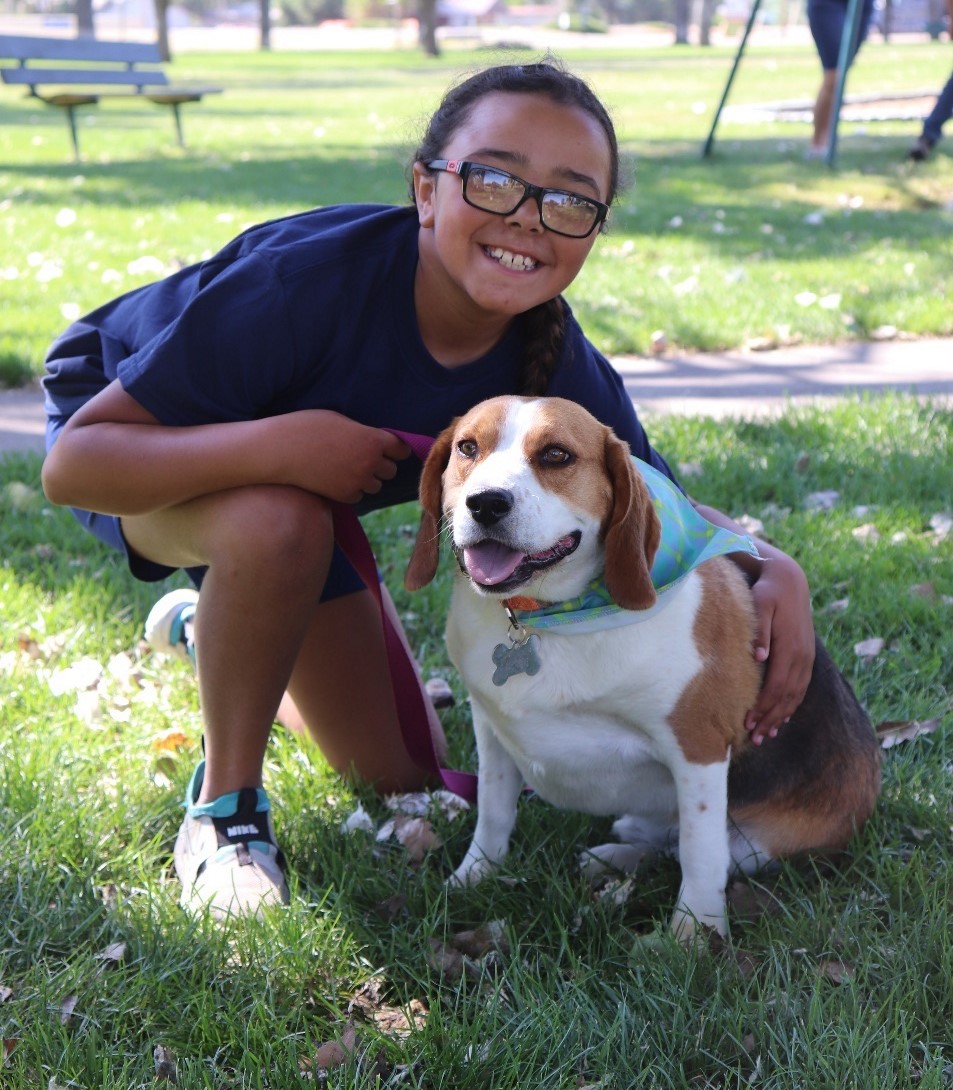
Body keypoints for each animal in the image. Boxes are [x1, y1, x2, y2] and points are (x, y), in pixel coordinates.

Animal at [401, 396, 876, 941]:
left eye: (557, 455)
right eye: (467, 448)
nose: (485, 503)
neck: (543, 617)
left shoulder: (698, 749)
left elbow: (699, 854)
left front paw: (692, 936)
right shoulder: (492, 728)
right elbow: (494, 811)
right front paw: (473, 877)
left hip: (759, 844)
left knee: (698, 850)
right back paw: (616, 852)